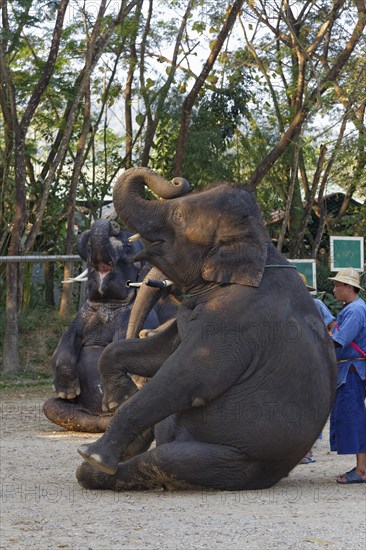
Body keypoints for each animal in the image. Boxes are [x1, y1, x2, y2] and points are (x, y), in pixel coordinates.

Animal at [42, 218, 160, 434]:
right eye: (89, 249)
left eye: (127, 248)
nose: (114, 224)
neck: (108, 302)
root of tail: (99, 418)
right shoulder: (81, 315)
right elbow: (64, 342)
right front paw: (67, 392)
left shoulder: (138, 316)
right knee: (50, 407)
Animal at [76, 167, 338, 492]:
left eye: (177, 216)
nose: (176, 181)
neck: (260, 245)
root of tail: (275, 476)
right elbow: (157, 354)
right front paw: (119, 397)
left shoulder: (234, 320)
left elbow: (186, 378)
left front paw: (91, 452)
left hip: (236, 461)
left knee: (166, 460)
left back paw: (101, 464)